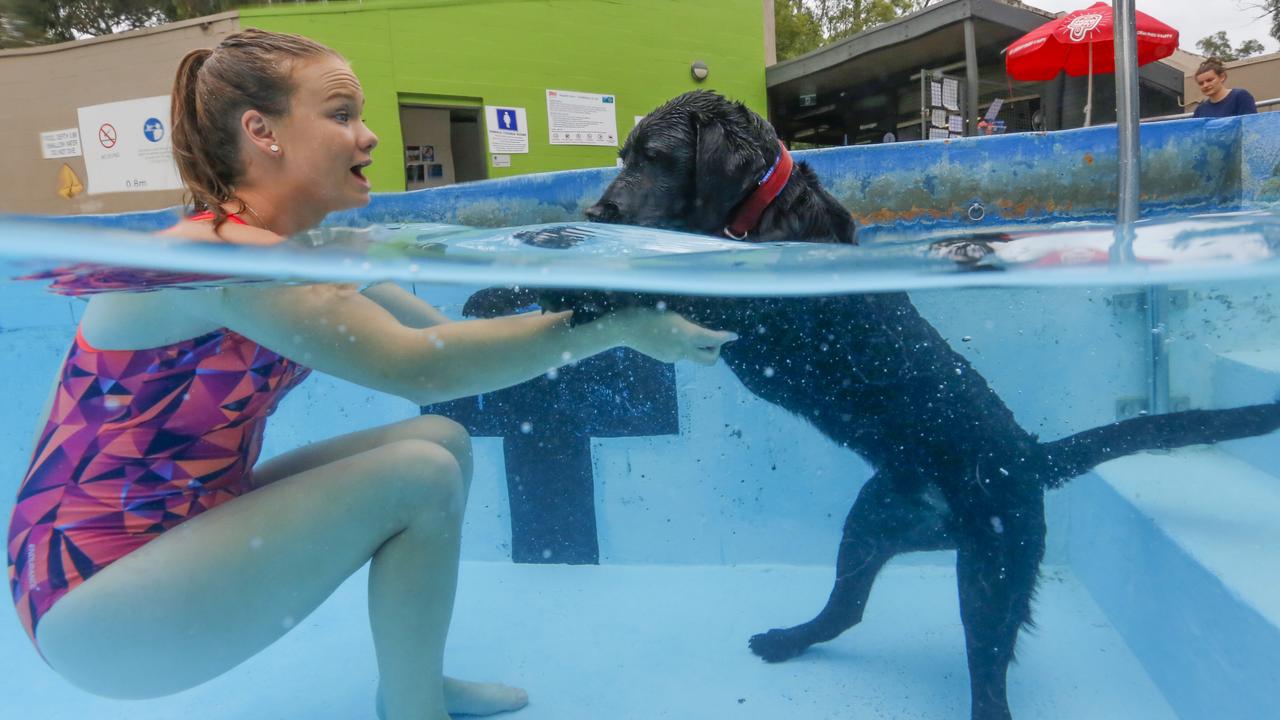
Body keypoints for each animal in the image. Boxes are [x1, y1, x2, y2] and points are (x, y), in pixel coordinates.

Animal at [504, 90, 1280, 717]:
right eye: (624, 156)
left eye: (656, 159)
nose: (595, 212)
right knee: (845, 611)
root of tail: (1028, 455)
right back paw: (788, 639)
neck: (762, 211)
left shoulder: (747, 300)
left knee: (988, 673)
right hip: (870, 521)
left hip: (994, 569)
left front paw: (560, 263)